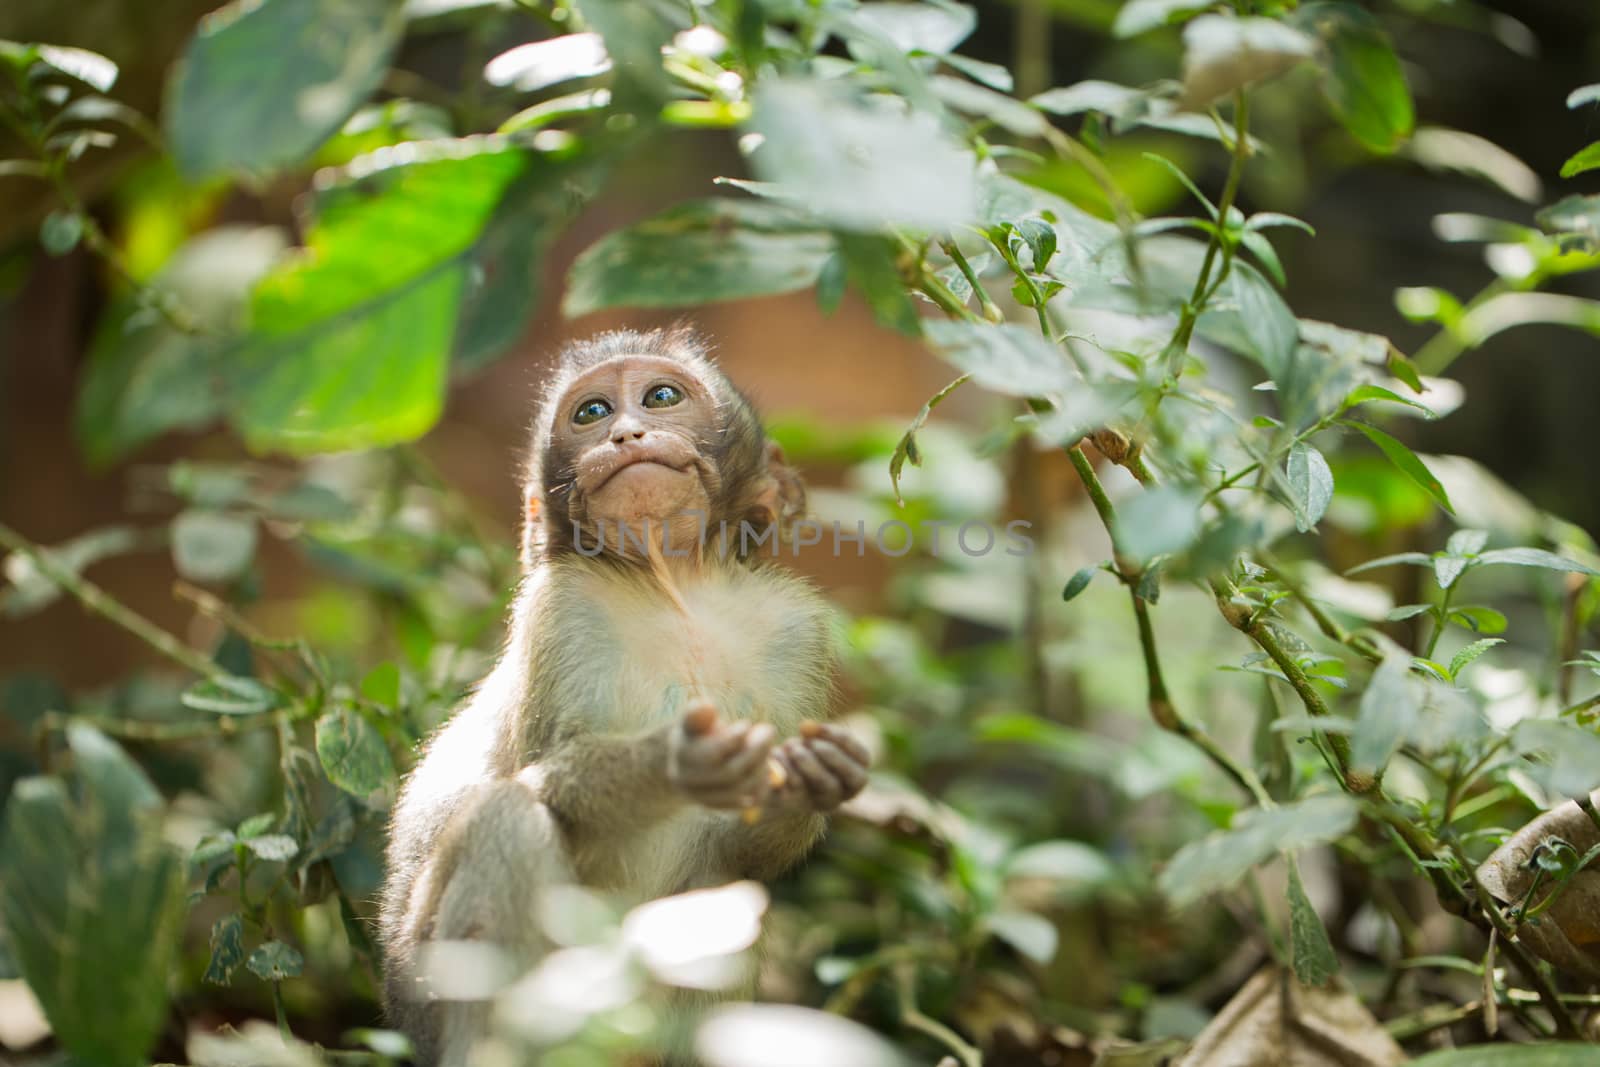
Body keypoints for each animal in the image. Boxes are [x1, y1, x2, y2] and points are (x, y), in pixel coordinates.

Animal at [379, 329, 870, 1062]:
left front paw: (814, 780)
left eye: (661, 397)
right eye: (591, 412)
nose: (625, 432)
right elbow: (550, 781)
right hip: (422, 992)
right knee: (508, 818)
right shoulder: (562, 606)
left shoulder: (798, 631)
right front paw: (678, 758)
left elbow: (744, 857)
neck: (677, 592)